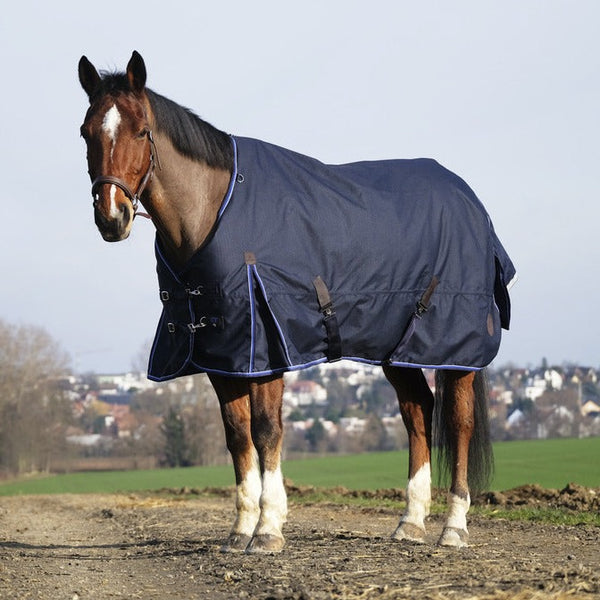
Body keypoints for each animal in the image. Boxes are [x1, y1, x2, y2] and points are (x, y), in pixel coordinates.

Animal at [77, 51, 512, 552]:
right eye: (86, 132)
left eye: (141, 130)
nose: (111, 217)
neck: (215, 209)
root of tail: (470, 200)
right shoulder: (224, 354)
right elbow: (237, 435)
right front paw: (240, 529)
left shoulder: (266, 346)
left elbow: (267, 430)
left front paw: (268, 528)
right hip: (398, 349)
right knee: (418, 414)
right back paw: (410, 522)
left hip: (453, 348)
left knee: (458, 423)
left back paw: (453, 527)